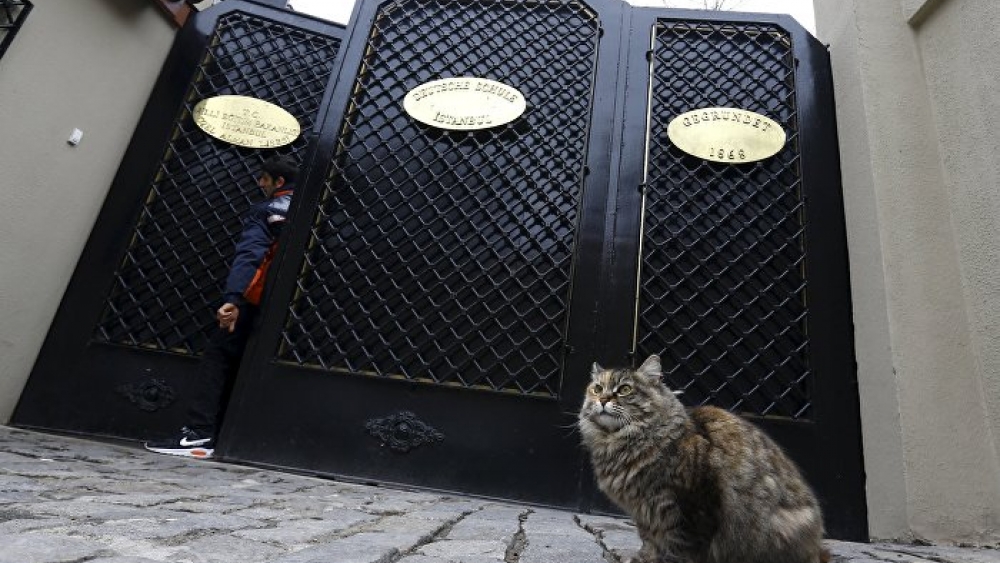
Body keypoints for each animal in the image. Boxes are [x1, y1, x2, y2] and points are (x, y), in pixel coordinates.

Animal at [580, 356, 828, 563]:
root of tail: (817, 550)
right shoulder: (645, 512)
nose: (603, 399)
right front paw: (644, 559)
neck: (619, 443)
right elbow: (649, 542)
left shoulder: (688, 509)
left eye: (624, 389)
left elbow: (679, 550)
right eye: (597, 388)